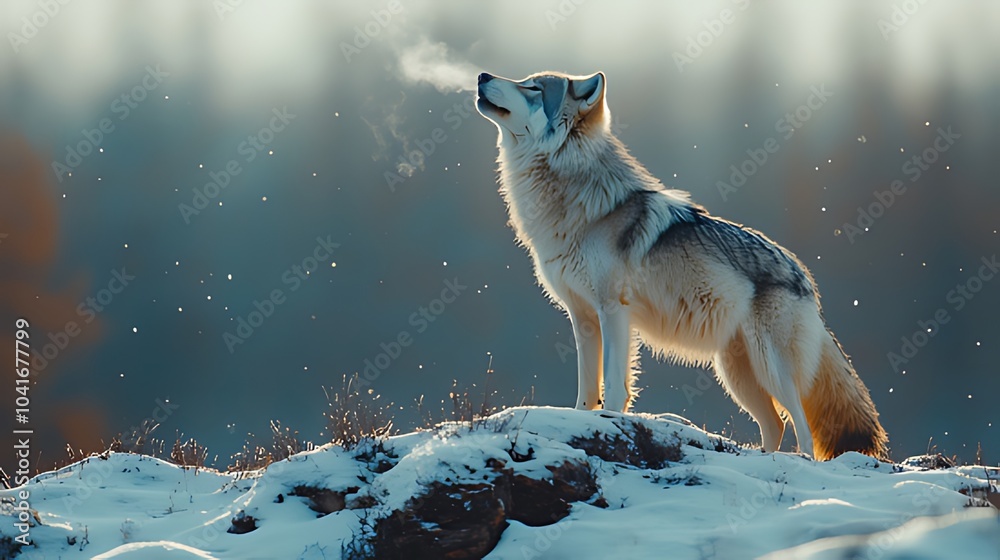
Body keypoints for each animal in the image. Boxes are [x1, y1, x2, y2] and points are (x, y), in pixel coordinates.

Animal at [476, 71, 888, 460]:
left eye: (532, 88)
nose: (481, 76)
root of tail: (806, 280)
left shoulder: (613, 311)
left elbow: (614, 386)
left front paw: (609, 419)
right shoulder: (583, 318)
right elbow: (587, 390)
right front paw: (580, 418)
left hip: (769, 367)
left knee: (800, 425)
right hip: (737, 375)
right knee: (775, 425)